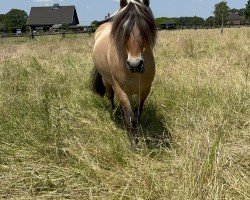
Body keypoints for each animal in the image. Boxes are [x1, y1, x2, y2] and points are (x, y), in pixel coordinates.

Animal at [91, 0, 157, 147]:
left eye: (145, 28)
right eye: (123, 31)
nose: (135, 64)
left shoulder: (145, 90)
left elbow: (137, 114)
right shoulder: (120, 89)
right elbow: (130, 118)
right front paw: (133, 144)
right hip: (107, 81)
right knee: (110, 97)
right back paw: (113, 115)